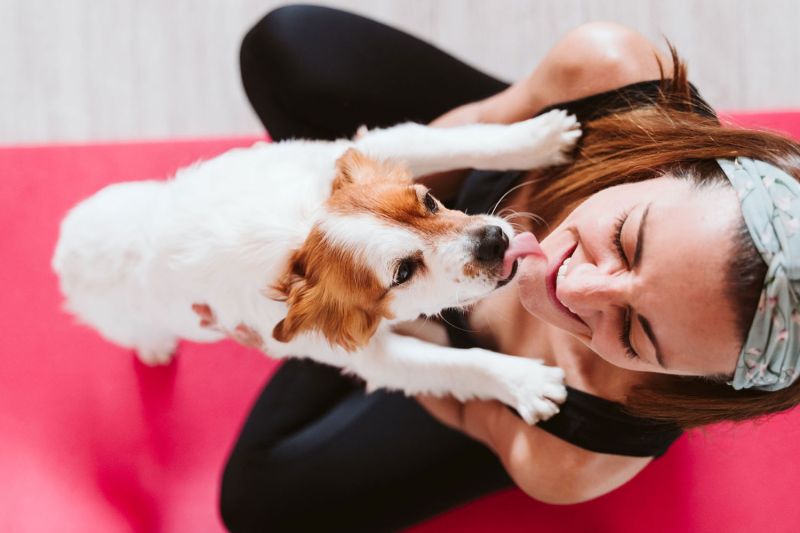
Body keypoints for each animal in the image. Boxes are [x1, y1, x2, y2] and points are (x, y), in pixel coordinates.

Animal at [53, 110, 580, 422]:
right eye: (402, 274)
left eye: (429, 201)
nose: (494, 241)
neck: (295, 235)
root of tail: (63, 249)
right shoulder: (369, 355)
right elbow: (460, 365)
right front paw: (525, 383)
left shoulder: (342, 152)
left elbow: (449, 141)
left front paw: (537, 138)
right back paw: (154, 349)